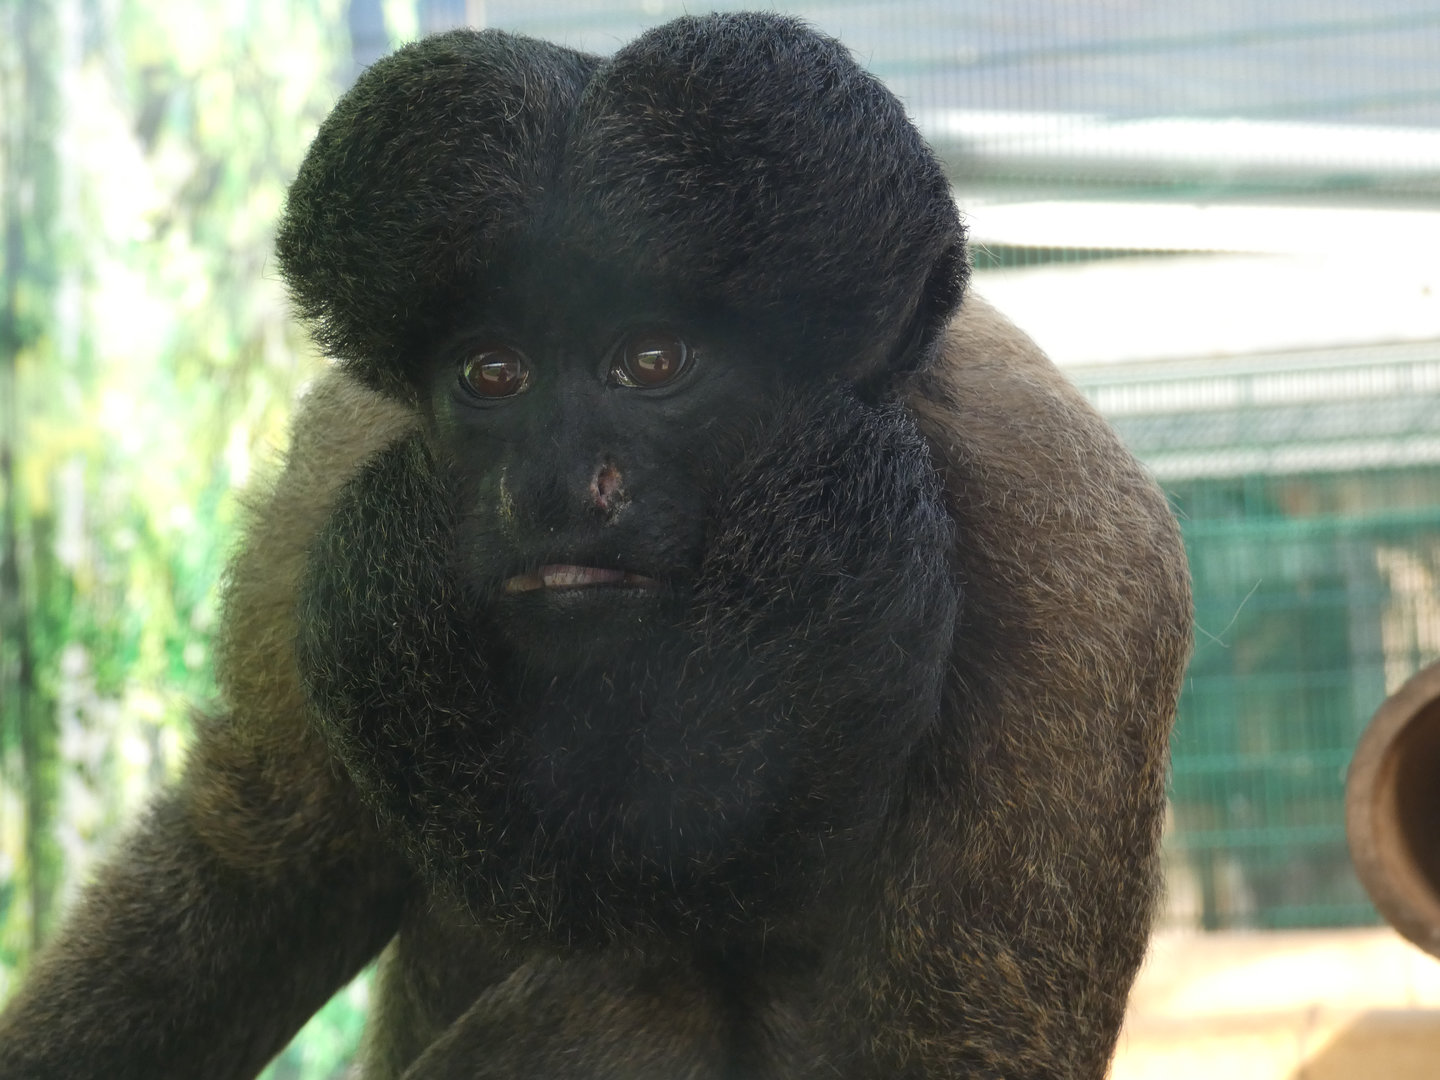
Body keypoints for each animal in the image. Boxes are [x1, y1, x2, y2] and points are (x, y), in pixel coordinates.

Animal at [0, 13, 1191, 1080]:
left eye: (653, 361)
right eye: (492, 373)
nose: (554, 485)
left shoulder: (1076, 568)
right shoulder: (330, 475)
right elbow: (263, 867)